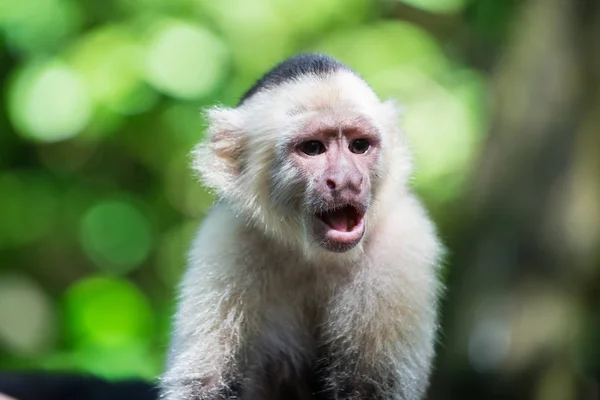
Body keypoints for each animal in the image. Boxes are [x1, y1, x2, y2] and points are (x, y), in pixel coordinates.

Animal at [159, 54, 440, 400]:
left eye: (359, 146)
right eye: (312, 148)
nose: (346, 180)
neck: (317, 256)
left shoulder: (402, 244)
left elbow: (372, 387)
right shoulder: (225, 239)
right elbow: (206, 384)